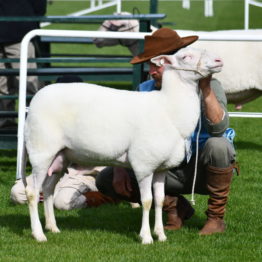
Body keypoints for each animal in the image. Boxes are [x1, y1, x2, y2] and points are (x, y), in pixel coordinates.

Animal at [22, 46, 222, 244]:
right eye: (185, 56)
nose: (219, 61)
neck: (169, 108)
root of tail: (33, 103)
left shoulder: (161, 168)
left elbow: (159, 200)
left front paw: (161, 235)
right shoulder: (144, 165)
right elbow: (147, 201)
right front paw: (146, 237)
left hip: (61, 156)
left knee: (48, 189)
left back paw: (52, 227)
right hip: (41, 151)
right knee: (32, 192)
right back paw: (38, 234)